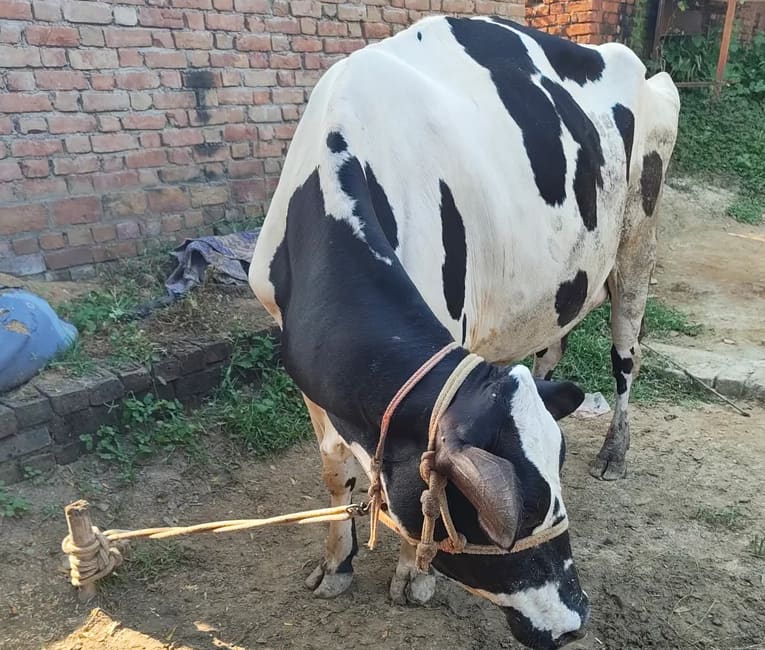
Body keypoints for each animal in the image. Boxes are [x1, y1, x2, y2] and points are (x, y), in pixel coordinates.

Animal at [249, 15, 679, 650]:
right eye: (502, 516)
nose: (574, 621)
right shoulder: (304, 364)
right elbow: (335, 469)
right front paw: (336, 562)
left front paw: (413, 573)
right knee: (553, 344)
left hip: (636, 247)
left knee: (626, 359)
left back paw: (614, 451)